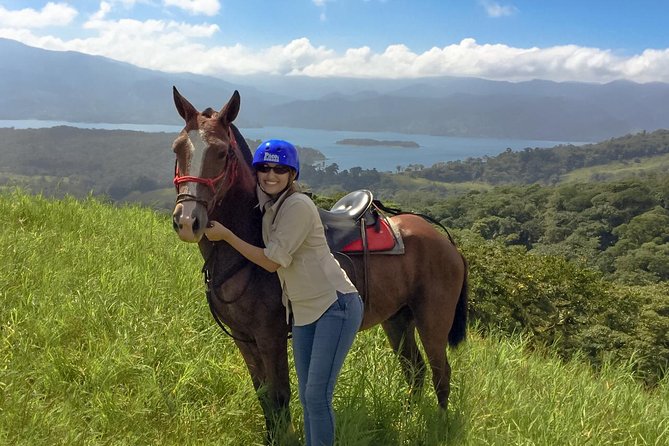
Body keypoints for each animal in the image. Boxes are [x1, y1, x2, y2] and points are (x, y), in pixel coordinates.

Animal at [170, 86, 468, 442]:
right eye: (177, 148)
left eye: (222, 152)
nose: (188, 221)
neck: (248, 244)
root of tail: (445, 241)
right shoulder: (244, 338)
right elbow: (263, 394)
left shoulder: (270, 336)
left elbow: (279, 395)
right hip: (397, 319)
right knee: (415, 371)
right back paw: (407, 422)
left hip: (432, 321)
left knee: (440, 373)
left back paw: (436, 428)